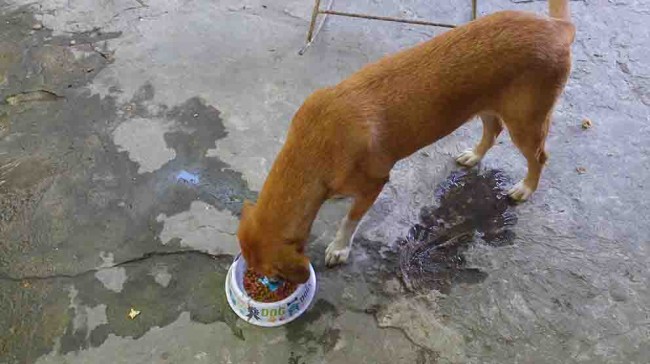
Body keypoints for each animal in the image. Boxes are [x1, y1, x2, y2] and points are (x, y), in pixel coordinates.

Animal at [237, 0, 572, 282]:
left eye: (272, 275)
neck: (315, 144)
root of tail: (558, 28)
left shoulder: (375, 182)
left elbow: (350, 220)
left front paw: (339, 247)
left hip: (526, 123)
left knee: (539, 157)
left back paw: (524, 188)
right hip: (488, 105)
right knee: (493, 131)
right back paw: (474, 157)